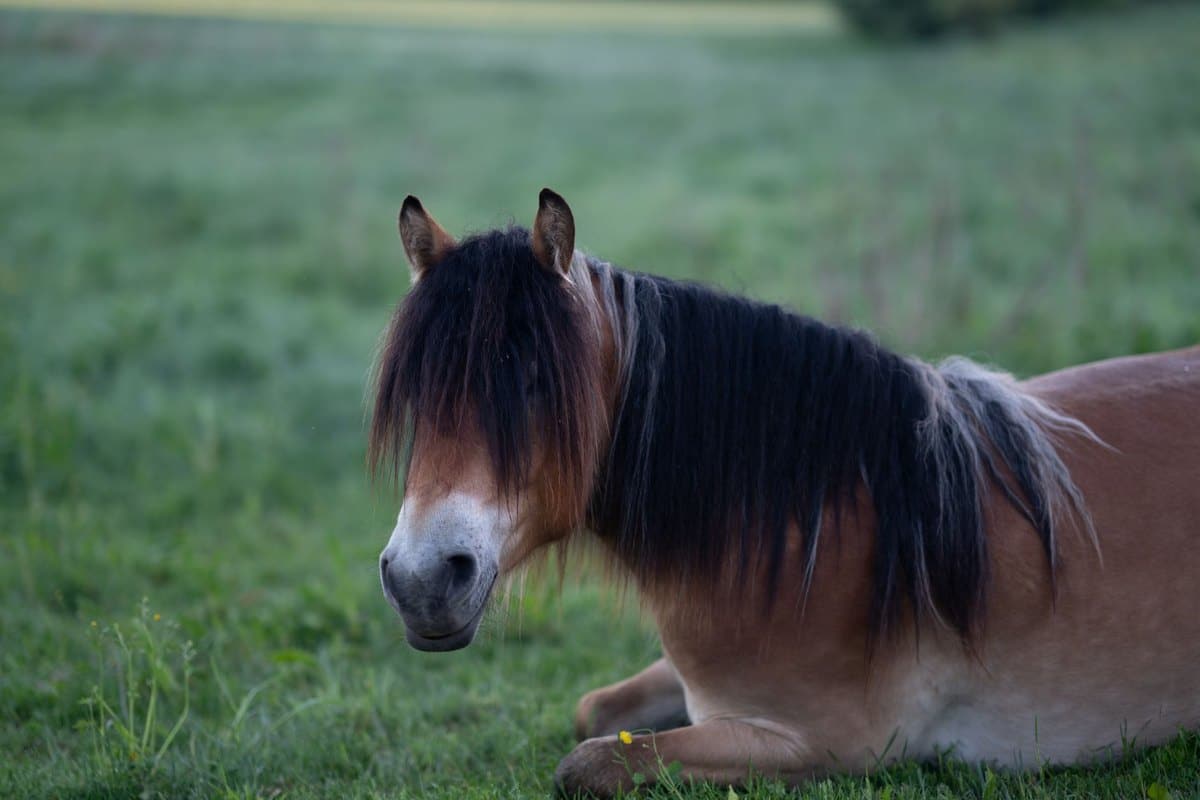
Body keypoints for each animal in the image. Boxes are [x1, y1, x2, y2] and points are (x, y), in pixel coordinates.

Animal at [370, 189, 1200, 797]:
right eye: (415, 390)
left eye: (539, 383)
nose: (422, 579)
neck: (815, 521)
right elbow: (591, 711)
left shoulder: (827, 745)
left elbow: (591, 763)